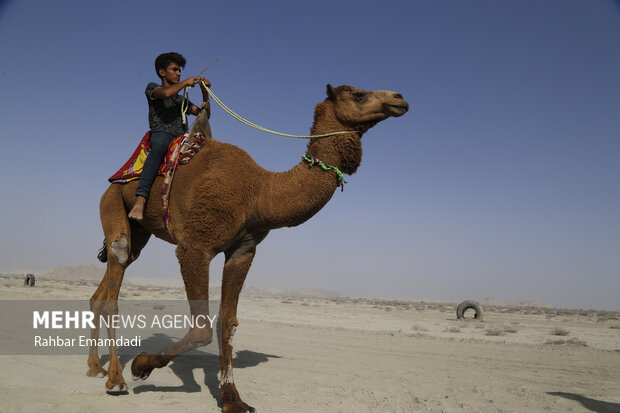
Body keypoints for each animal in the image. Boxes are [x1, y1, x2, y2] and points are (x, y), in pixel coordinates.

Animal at [87, 84, 406, 412]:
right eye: (358, 94)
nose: (399, 99)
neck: (259, 192)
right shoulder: (195, 247)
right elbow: (201, 328)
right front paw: (141, 365)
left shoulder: (242, 251)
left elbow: (227, 324)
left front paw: (232, 399)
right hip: (112, 201)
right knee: (118, 262)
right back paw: (116, 379)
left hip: (139, 229)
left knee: (111, 279)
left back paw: (95, 367)